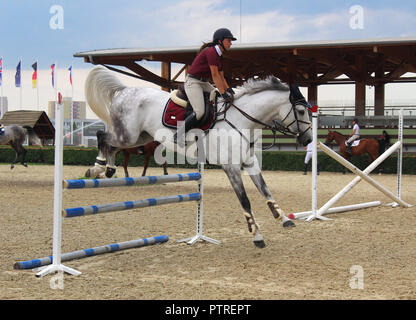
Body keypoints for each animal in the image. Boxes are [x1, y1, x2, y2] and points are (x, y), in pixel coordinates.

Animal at [85, 66, 312, 248]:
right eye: (301, 111)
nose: (308, 139)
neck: (242, 119)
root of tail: (125, 90)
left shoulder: (250, 162)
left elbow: (265, 190)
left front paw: (283, 218)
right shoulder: (231, 167)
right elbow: (245, 201)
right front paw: (257, 237)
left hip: (139, 137)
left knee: (113, 146)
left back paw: (108, 169)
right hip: (128, 135)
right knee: (103, 137)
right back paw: (96, 167)